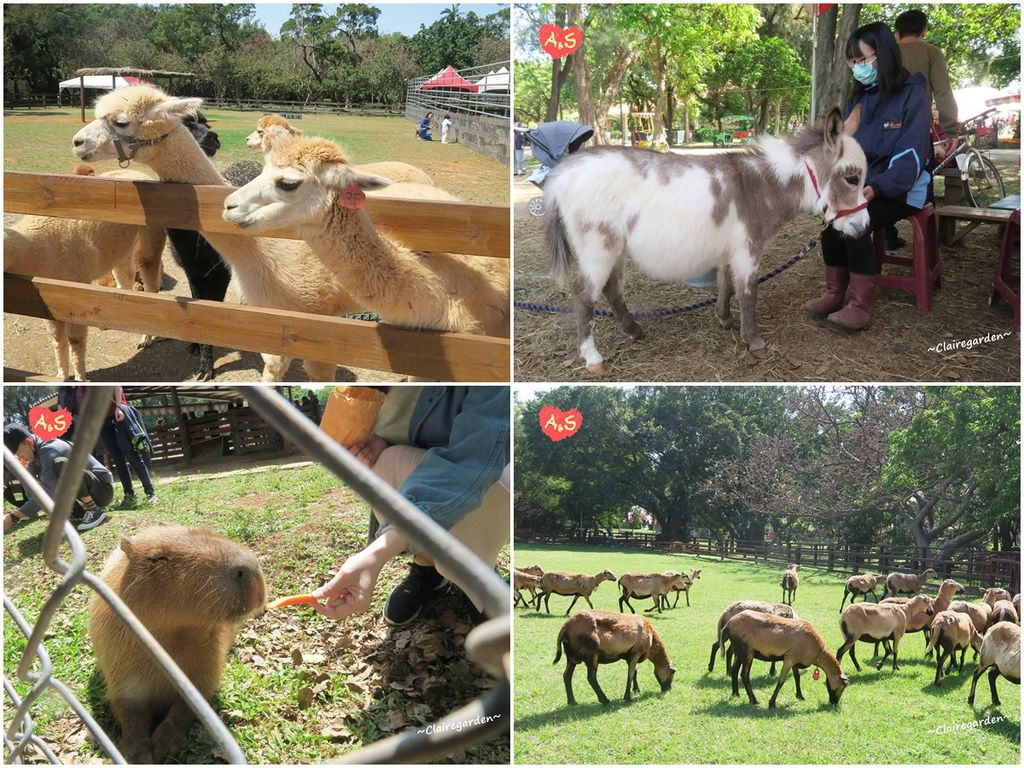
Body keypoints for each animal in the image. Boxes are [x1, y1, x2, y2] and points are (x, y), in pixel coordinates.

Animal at [89, 524, 264, 765]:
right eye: (156, 557)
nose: (250, 566)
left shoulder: (206, 668)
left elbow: (188, 705)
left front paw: (163, 744)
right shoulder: (118, 671)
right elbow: (128, 712)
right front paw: (137, 753)